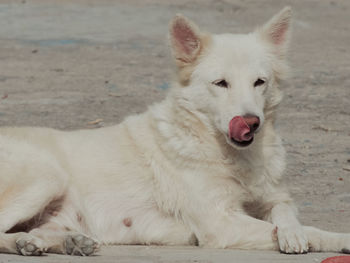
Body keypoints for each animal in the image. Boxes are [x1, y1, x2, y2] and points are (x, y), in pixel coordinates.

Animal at [0, 6, 350, 258]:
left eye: (259, 82)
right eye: (221, 83)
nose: (251, 122)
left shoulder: (274, 198)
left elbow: (287, 214)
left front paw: (301, 233)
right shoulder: (220, 224)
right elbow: (307, 230)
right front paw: (312, 237)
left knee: (33, 232)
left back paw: (62, 243)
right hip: (47, 176)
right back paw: (25, 245)